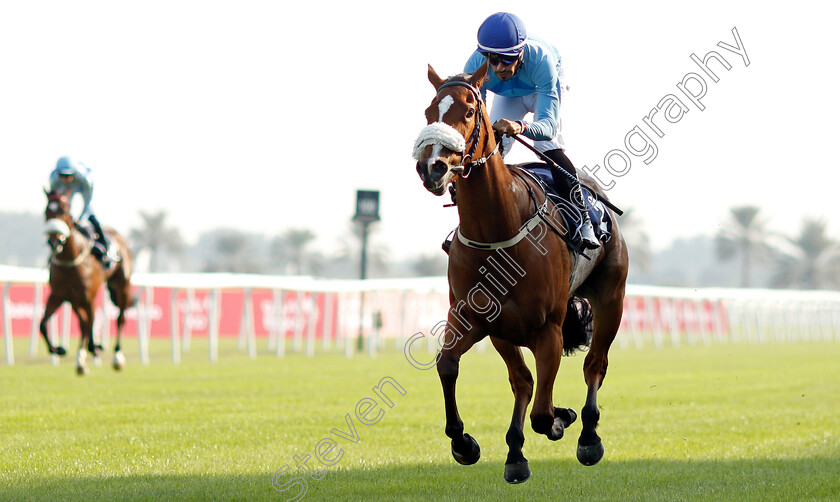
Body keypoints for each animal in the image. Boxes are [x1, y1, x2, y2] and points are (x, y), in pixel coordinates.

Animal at [40, 190, 135, 374]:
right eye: (47, 211)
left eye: (63, 210)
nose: (54, 241)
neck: (70, 260)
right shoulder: (58, 295)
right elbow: (42, 324)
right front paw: (59, 349)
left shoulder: (88, 297)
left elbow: (91, 323)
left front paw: (82, 357)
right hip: (75, 300)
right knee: (84, 322)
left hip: (122, 286)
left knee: (120, 318)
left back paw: (116, 356)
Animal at [414, 62, 632, 482]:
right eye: (429, 112)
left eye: (469, 111)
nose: (431, 167)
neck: (498, 231)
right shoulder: (474, 319)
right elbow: (449, 365)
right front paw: (464, 443)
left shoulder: (548, 329)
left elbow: (544, 414)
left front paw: (564, 418)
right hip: (505, 332)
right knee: (523, 381)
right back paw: (515, 453)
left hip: (611, 297)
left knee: (594, 365)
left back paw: (588, 435)